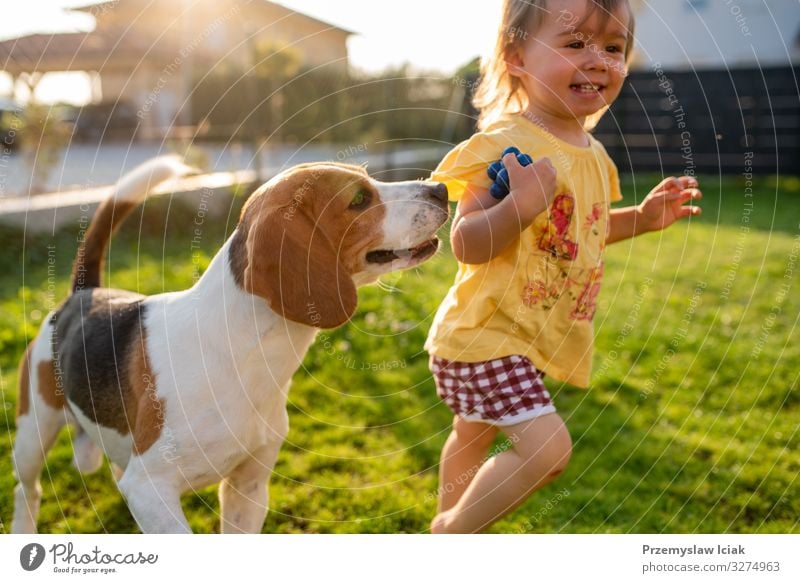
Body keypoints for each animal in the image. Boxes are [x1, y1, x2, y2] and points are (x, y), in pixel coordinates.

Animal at [10, 156, 450, 532]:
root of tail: (86, 293)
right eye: (358, 199)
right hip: (33, 432)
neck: (244, 354)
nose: (441, 189)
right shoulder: (149, 488)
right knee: (27, 489)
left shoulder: (248, 487)